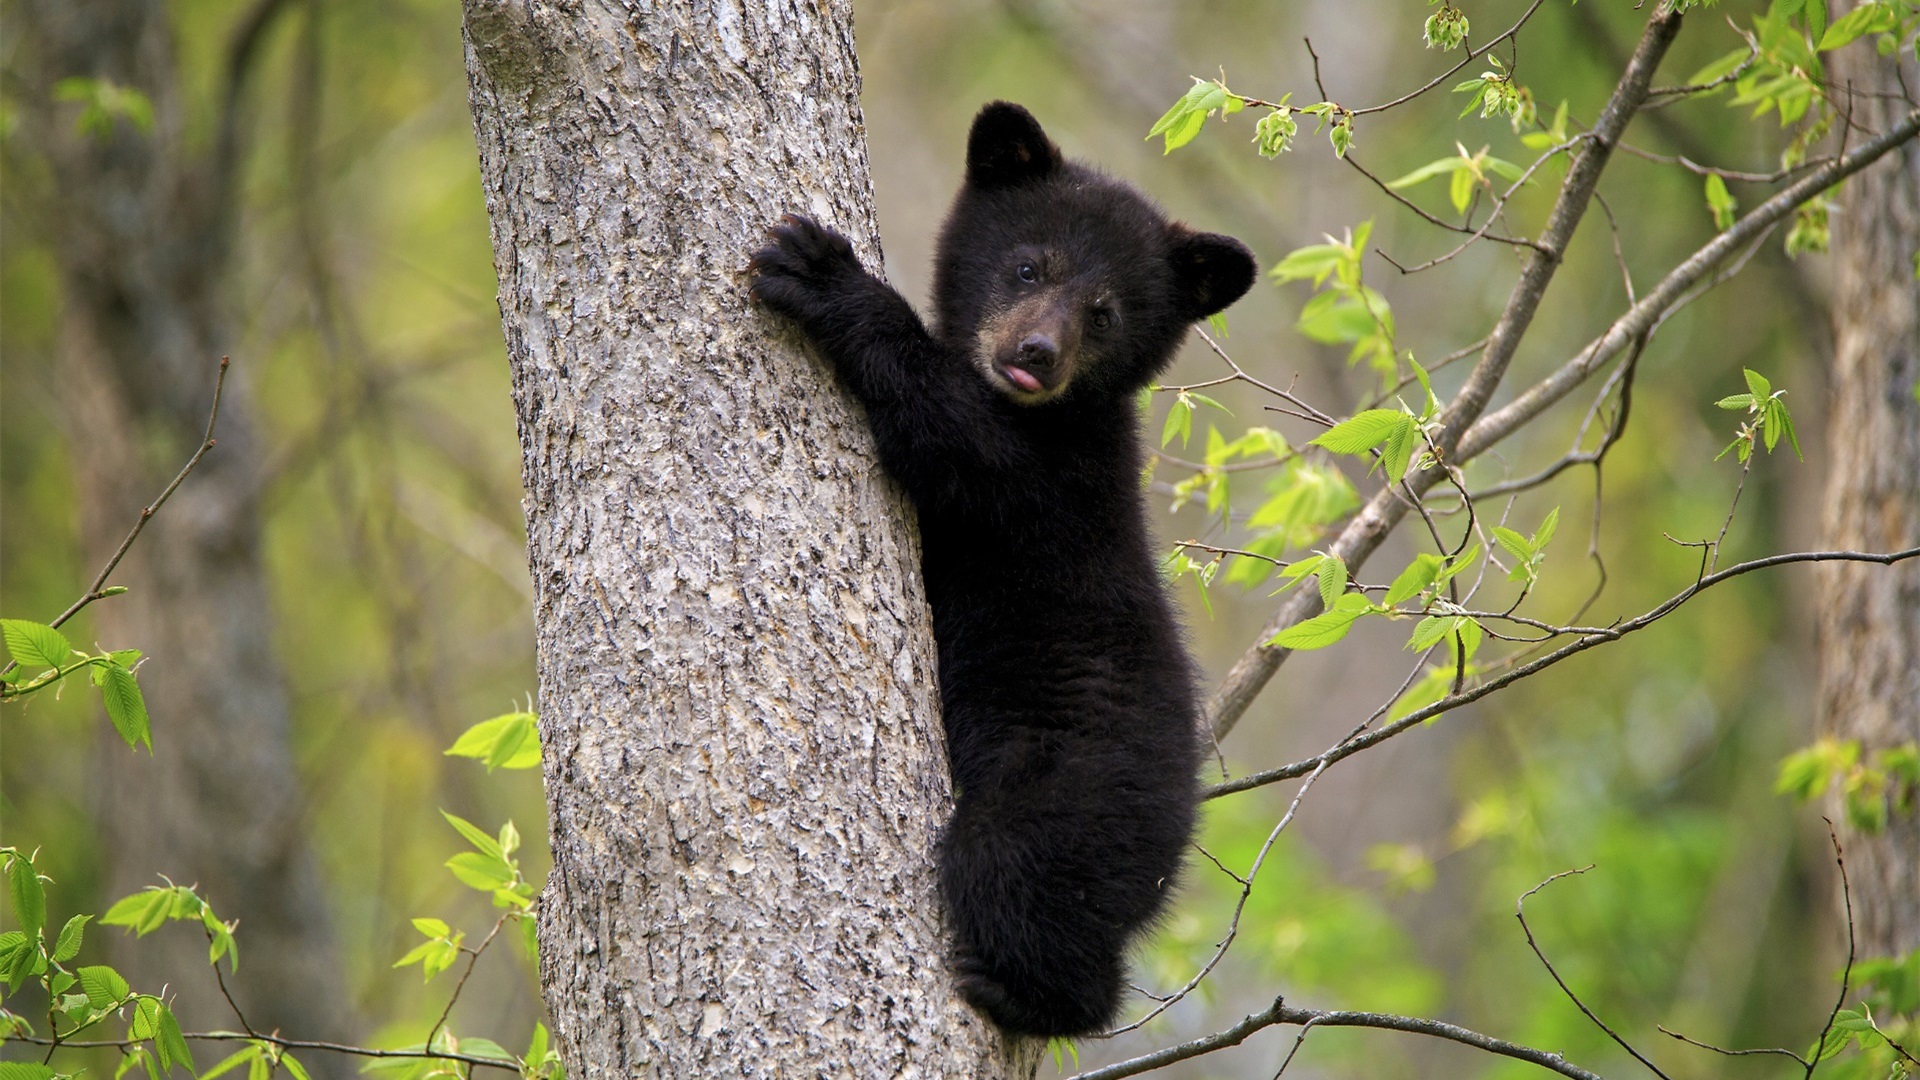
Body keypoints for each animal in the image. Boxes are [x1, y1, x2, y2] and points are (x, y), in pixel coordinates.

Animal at [748, 100, 1259, 1037]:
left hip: (1064, 795)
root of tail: (1172, 848)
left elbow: (951, 431)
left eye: (1105, 313)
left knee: (1012, 875)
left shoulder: (1049, 484)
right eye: (1027, 265)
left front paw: (824, 274)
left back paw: (1023, 993)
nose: (1037, 353)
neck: (1055, 414)